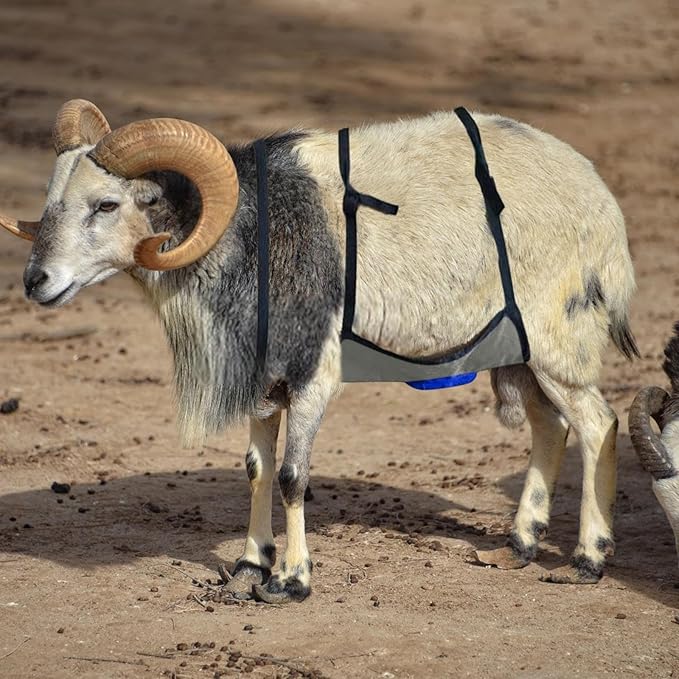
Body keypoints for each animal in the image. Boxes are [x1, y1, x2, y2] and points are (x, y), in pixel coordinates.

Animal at [0, 99, 639, 603]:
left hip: (557, 344)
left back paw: (586, 561)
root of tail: (602, 204)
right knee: (550, 427)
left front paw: (290, 581)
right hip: (520, 352)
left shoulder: (312, 377)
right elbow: (257, 469)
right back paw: (519, 545)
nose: (35, 281)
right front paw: (248, 566)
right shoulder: (264, 383)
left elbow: (292, 476)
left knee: (598, 425)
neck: (251, 238)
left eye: (107, 205)